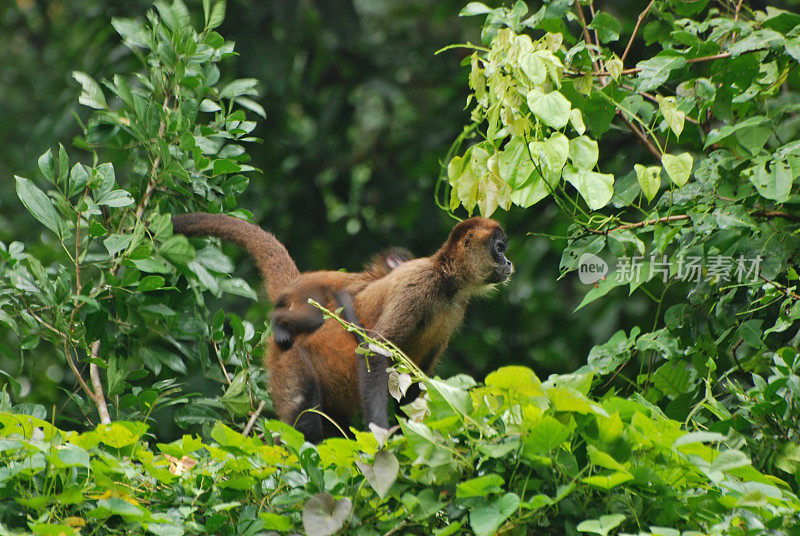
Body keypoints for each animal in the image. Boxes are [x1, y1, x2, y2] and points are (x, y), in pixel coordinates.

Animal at [174, 211, 512, 442]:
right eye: (499, 248)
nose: (508, 263)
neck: (446, 282)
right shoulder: (417, 286)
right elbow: (374, 352)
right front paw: (380, 437)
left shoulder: (456, 309)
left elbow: (415, 384)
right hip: (290, 359)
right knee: (305, 417)